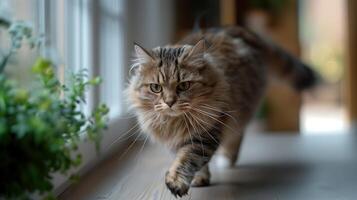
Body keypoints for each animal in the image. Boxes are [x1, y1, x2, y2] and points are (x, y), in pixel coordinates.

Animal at [125, 26, 314, 197]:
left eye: (184, 85)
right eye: (156, 88)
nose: (169, 102)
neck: (177, 122)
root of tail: (242, 30)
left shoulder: (206, 133)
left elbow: (187, 158)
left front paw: (177, 181)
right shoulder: (175, 140)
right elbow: (191, 160)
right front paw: (199, 179)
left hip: (239, 114)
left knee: (237, 135)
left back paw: (227, 159)